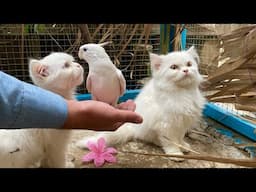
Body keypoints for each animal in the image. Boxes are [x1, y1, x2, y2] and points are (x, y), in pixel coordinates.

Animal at [76, 46, 206, 158]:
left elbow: (179, 138)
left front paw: (184, 146)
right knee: (153, 139)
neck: (182, 92)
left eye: (189, 64)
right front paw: (175, 154)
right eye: (173, 67)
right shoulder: (167, 125)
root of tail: (133, 127)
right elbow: (171, 142)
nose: (186, 70)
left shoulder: (182, 122)